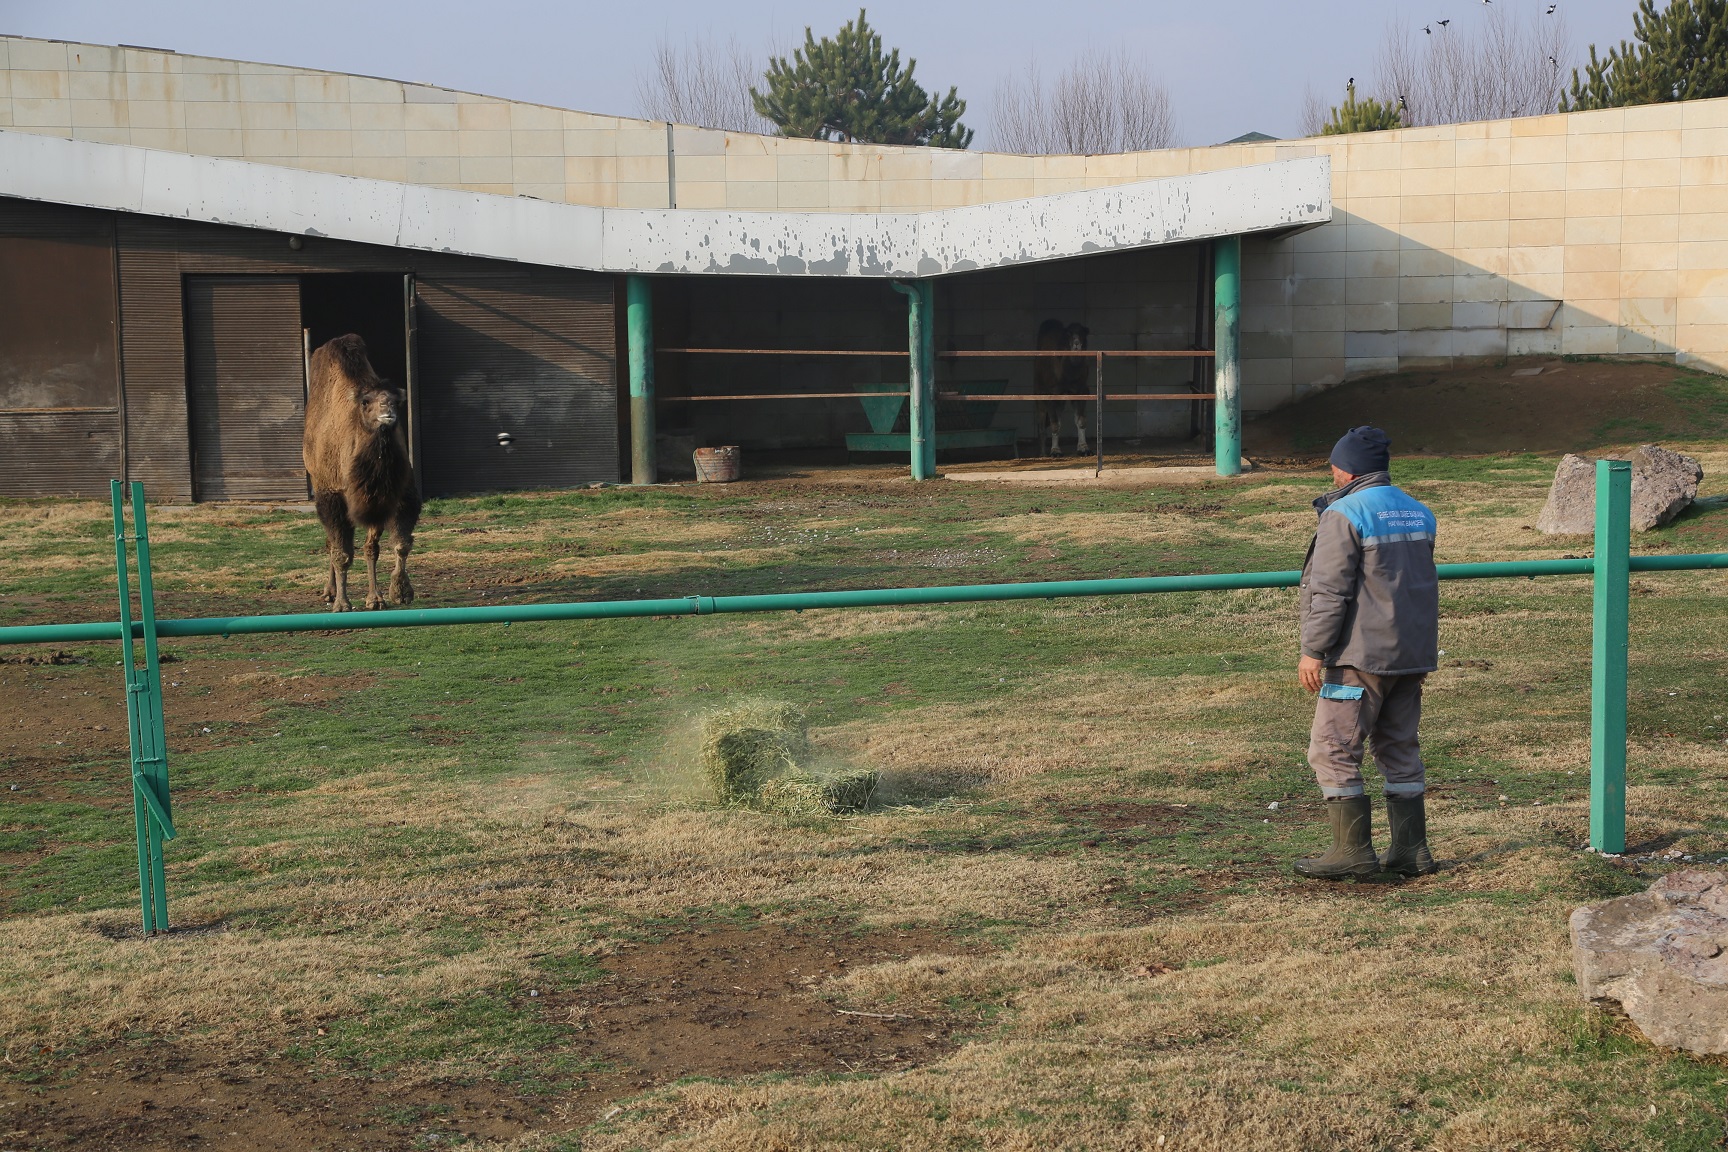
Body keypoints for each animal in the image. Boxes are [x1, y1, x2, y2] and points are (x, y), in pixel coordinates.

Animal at [302, 333, 419, 611]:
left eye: (395, 400)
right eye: (367, 402)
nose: (387, 410)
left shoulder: (386, 497)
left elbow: (391, 545)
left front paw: (392, 594)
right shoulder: (333, 495)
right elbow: (342, 553)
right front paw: (342, 604)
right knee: (331, 543)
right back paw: (330, 592)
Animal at [1029, 322, 1085, 455]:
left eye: (1083, 332)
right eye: (1069, 333)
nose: (1076, 343)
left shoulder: (1080, 391)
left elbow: (1080, 421)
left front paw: (1083, 448)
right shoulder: (1050, 394)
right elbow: (1054, 424)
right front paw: (1055, 451)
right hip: (1039, 395)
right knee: (1042, 425)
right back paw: (1042, 454)